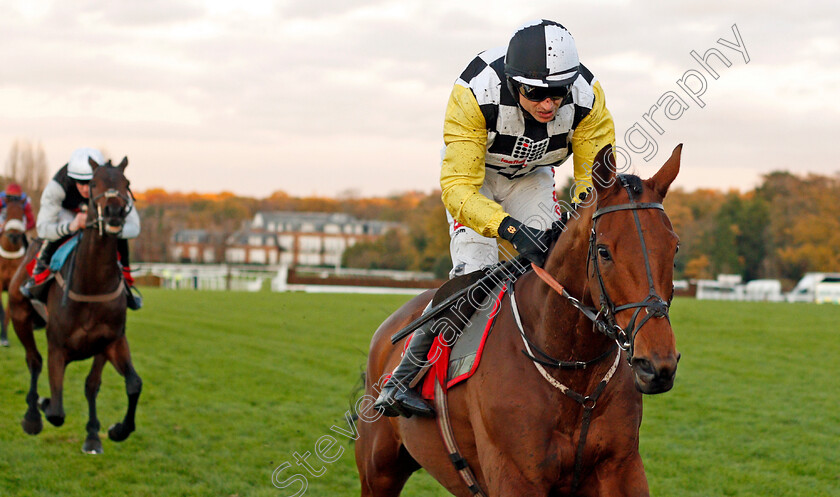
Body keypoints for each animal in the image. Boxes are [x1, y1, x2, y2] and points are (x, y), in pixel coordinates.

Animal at [9, 157, 143, 452]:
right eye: (93, 184)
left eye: (126, 183)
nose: (114, 212)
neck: (92, 285)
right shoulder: (57, 346)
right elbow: (57, 411)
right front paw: (43, 404)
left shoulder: (111, 341)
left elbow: (125, 384)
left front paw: (110, 431)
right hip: (19, 316)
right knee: (33, 360)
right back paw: (32, 415)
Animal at [354, 144, 684, 496]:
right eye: (604, 252)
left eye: (674, 247)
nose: (656, 365)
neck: (574, 372)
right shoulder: (515, 476)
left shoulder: (622, 468)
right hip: (378, 472)